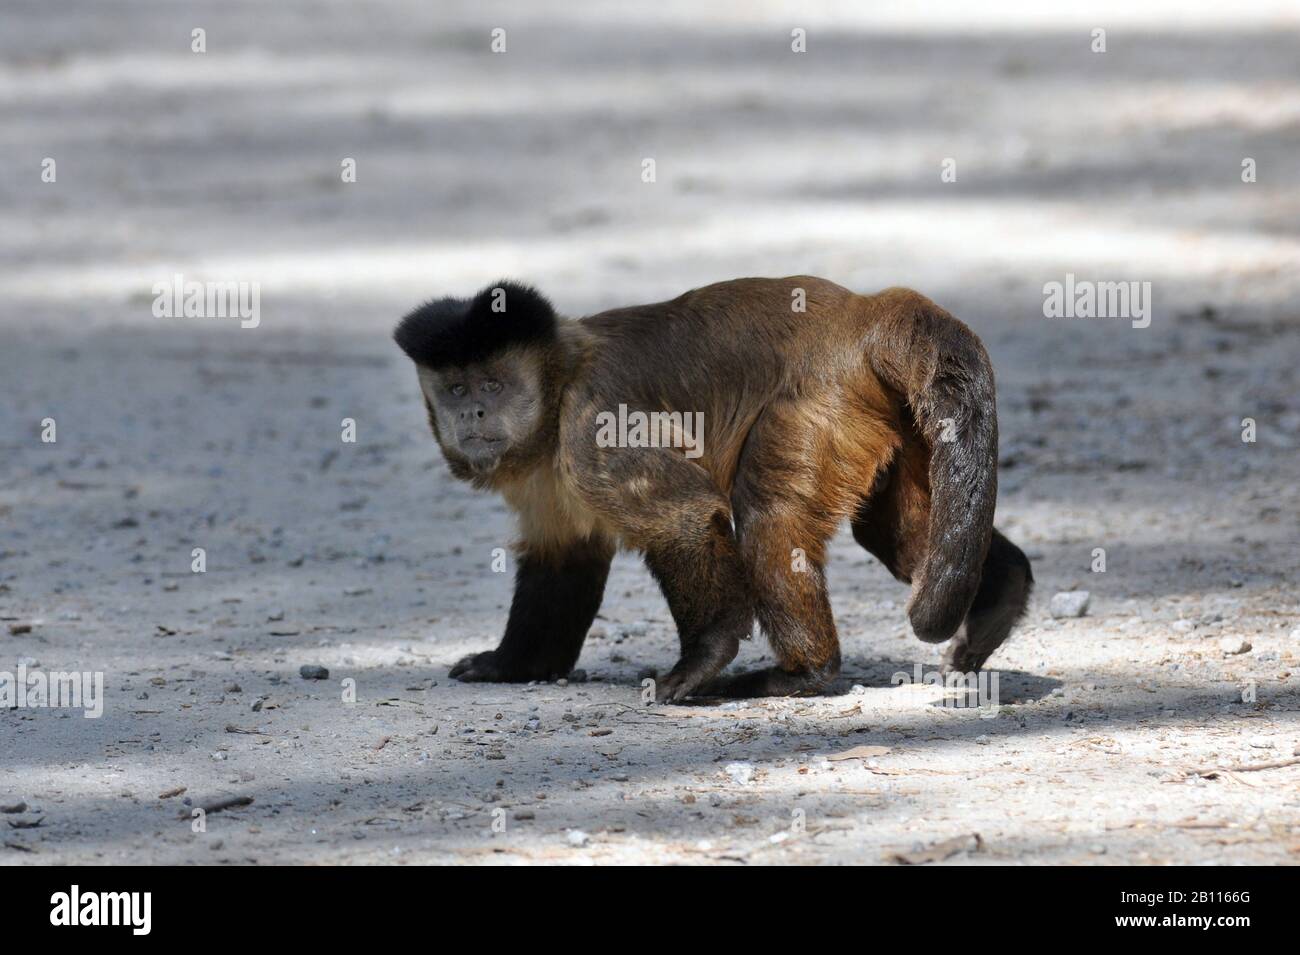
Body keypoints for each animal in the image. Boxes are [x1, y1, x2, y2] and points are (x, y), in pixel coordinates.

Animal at [390, 276, 1029, 701]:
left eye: (492, 385)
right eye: (455, 388)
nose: (472, 412)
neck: (557, 387)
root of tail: (863, 312)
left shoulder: (589, 425)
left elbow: (689, 516)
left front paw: (703, 661)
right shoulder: (546, 469)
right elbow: (564, 557)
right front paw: (513, 666)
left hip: (823, 396)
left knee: (767, 511)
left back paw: (805, 674)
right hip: (889, 413)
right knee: (889, 532)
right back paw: (1003, 592)